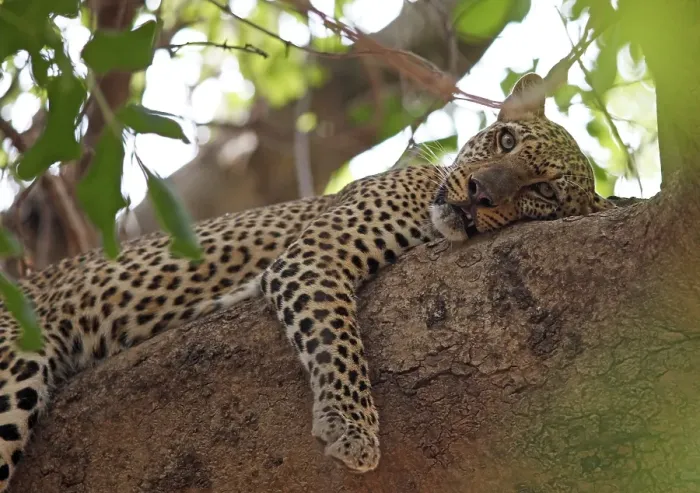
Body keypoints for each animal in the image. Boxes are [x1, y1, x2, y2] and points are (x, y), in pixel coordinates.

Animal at [0, 73, 615, 490]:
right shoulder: (312, 256)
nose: (480, 193)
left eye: (543, 192)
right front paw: (353, 429)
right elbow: (338, 341)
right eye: (506, 140)